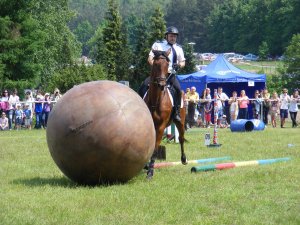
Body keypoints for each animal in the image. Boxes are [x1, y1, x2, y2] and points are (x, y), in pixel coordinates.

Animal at [144, 49, 188, 179]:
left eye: (167, 64)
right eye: (156, 64)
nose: (162, 85)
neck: (156, 100)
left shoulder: (160, 127)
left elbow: (154, 149)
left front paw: (150, 172)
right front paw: (146, 166)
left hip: (180, 122)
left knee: (181, 138)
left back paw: (184, 159)